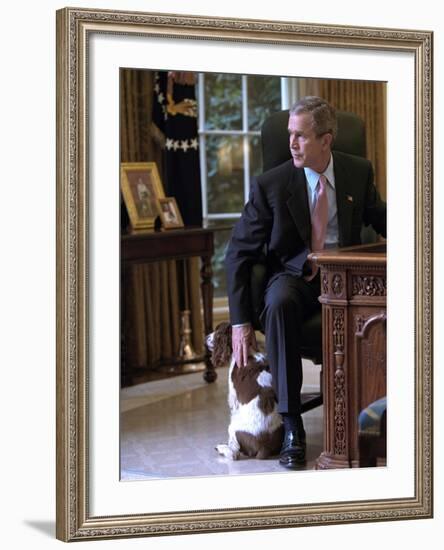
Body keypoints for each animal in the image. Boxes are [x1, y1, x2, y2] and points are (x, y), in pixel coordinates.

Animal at [206, 324, 282, 462]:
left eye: (217, 332)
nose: (206, 338)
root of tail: (264, 447)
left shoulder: (233, 396)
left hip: (233, 427)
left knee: (234, 453)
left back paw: (222, 448)